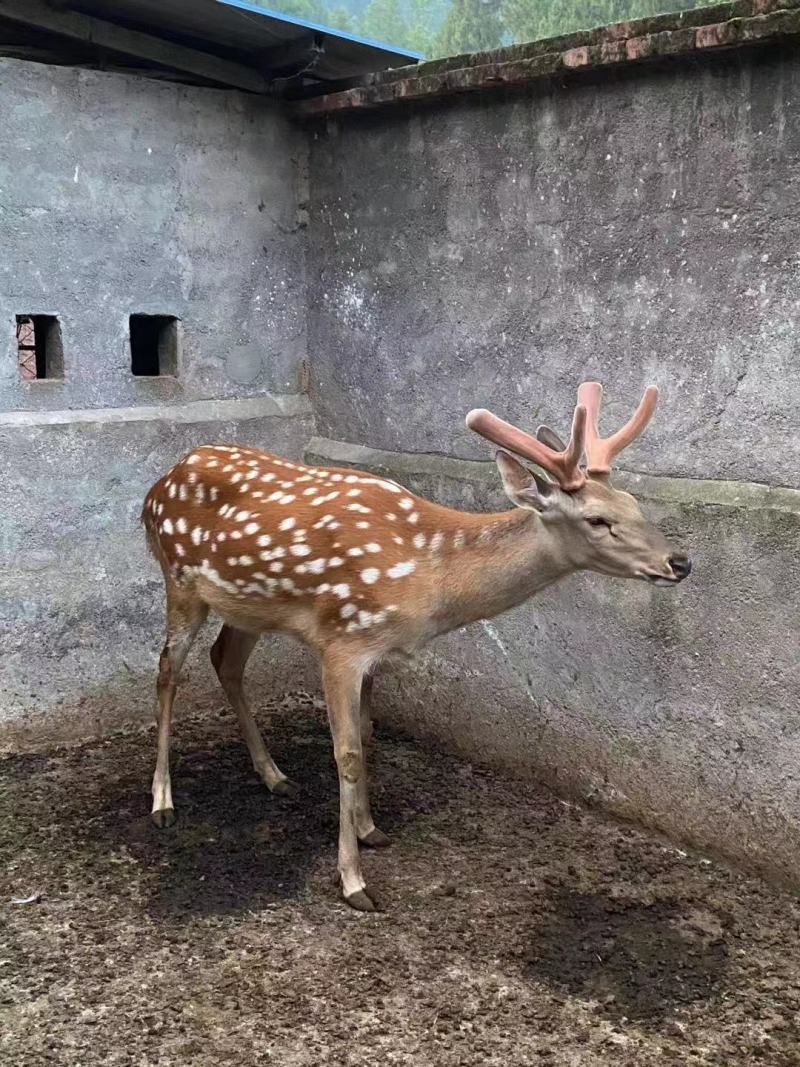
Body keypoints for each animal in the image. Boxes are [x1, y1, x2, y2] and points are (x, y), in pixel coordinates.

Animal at [141, 381, 691, 912]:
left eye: (635, 505)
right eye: (597, 520)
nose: (680, 562)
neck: (427, 581)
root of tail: (157, 486)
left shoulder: (376, 651)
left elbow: (367, 733)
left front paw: (370, 829)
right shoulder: (340, 640)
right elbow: (347, 753)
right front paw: (354, 881)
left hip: (248, 605)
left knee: (225, 662)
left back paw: (275, 776)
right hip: (179, 579)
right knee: (168, 669)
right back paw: (163, 801)